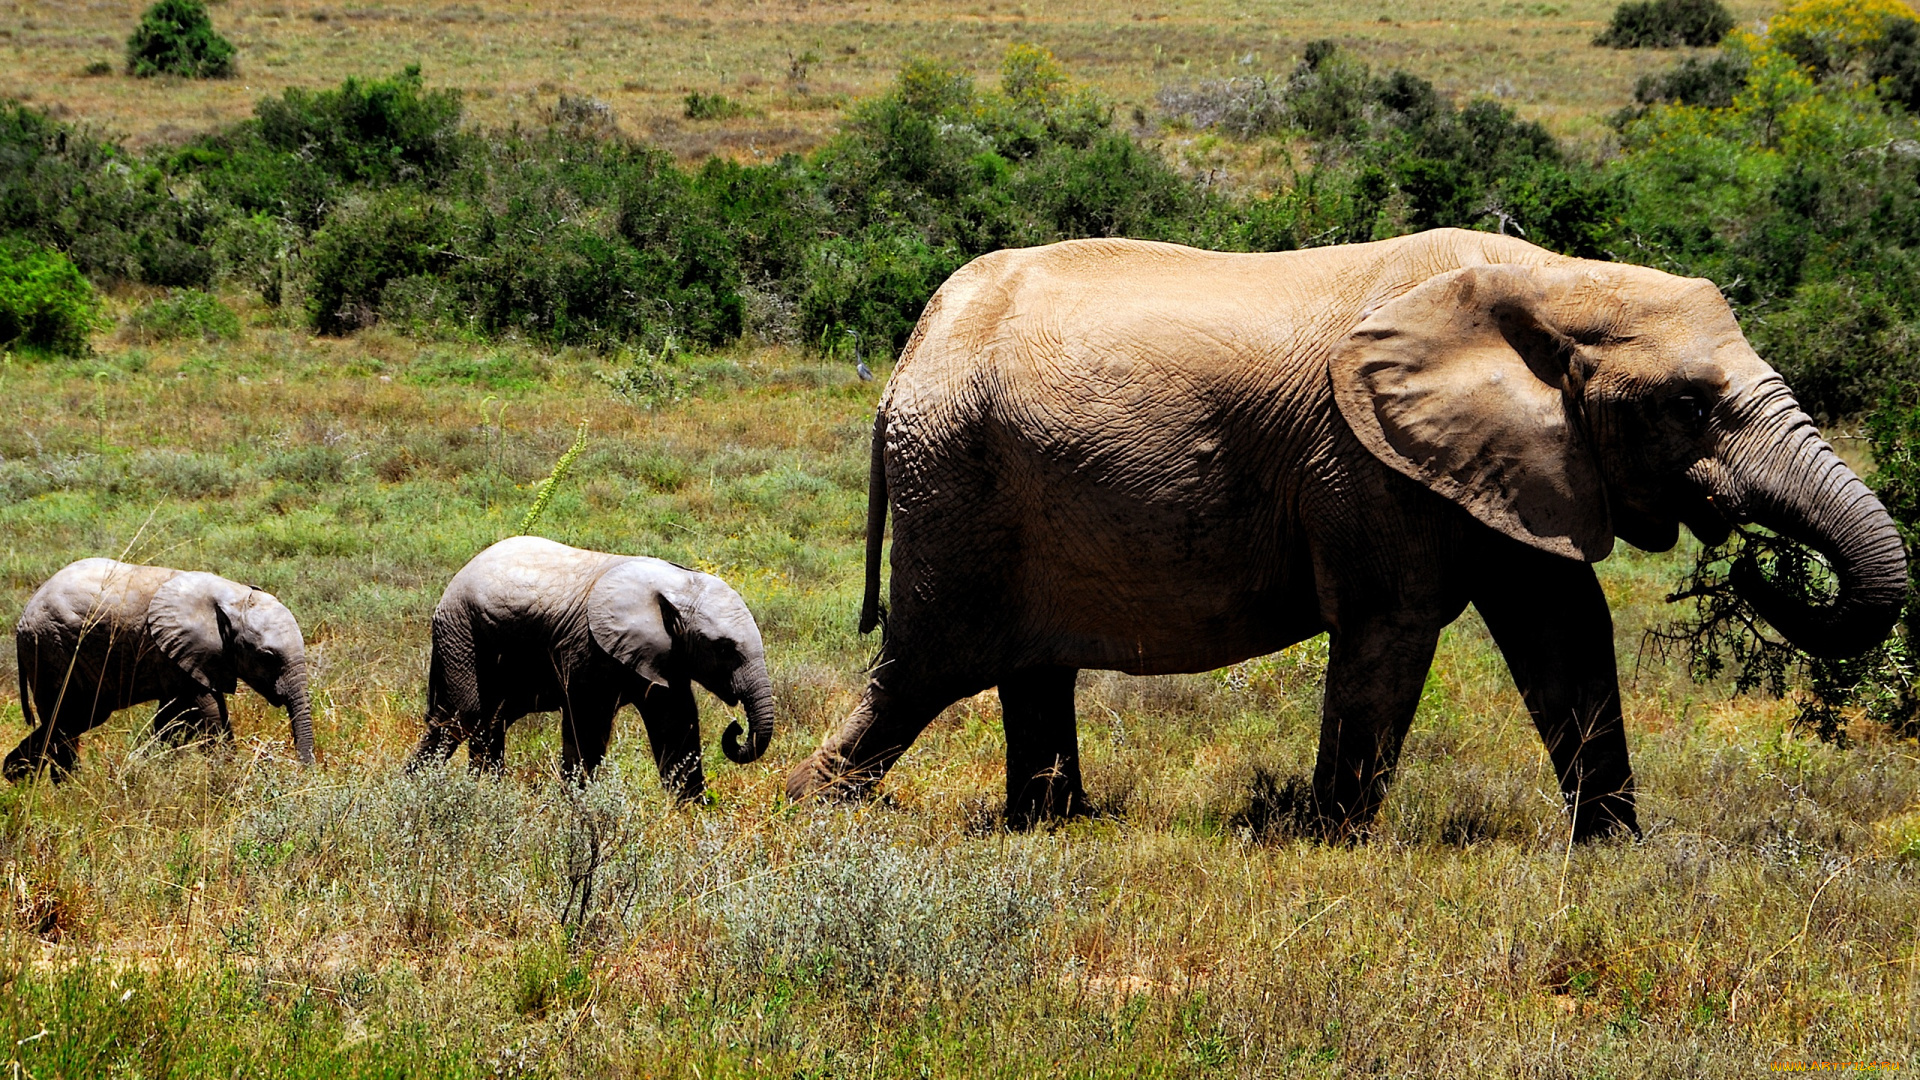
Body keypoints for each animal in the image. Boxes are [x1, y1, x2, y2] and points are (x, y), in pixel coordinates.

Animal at [8, 557, 314, 776]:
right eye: (267, 657)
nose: (305, 773)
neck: (233, 597)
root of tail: (21, 620)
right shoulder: (179, 652)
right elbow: (209, 712)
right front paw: (229, 773)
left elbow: (171, 718)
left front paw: (150, 763)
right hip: (51, 650)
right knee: (62, 724)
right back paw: (70, 789)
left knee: (73, 720)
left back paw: (15, 776)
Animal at [408, 530, 775, 791]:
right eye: (724, 648)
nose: (736, 728)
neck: (679, 586)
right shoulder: (587, 648)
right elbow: (587, 726)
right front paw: (581, 805)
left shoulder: (664, 653)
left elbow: (675, 724)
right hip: (461, 633)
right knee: (461, 717)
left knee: (487, 720)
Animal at [783, 224, 1904, 834]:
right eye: (1686, 406)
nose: (1753, 564)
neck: (1547, 278)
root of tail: (908, 355)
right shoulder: (1365, 462)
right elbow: (1391, 625)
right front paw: (1333, 845)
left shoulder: (1507, 455)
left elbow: (1566, 629)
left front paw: (1617, 855)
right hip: (957, 485)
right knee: (925, 669)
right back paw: (806, 811)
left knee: (1023, 670)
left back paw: (1051, 828)